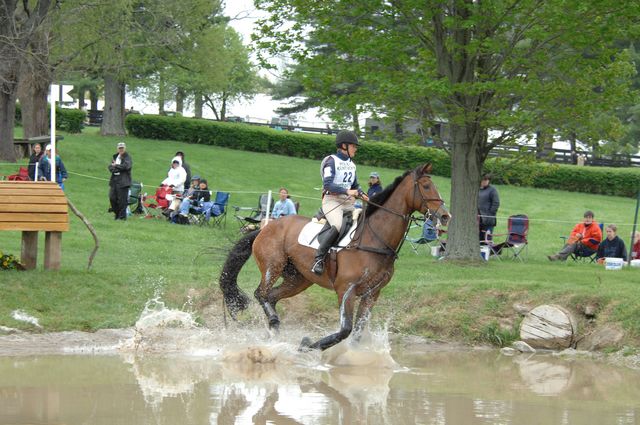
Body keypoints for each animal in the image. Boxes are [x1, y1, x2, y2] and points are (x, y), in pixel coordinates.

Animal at [220, 162, 450, 352]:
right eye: (426, 186)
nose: (445, 216)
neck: (375, 238)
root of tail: (265, 227)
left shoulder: (372, 293)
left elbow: (356, 333)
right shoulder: (346, 290)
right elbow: (345, 330)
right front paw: (307, 346)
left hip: (298, 279)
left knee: (272, 296)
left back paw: (274, 333)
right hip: (273, 265)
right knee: (261, 293)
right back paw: (275, 324)